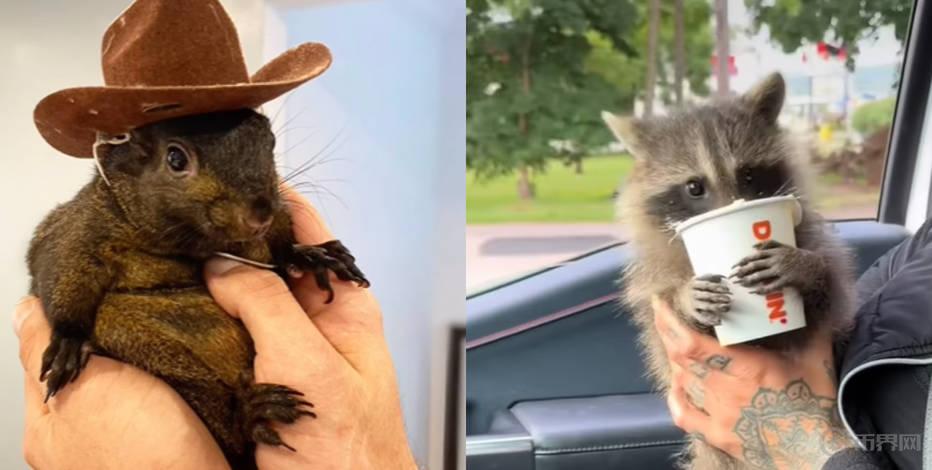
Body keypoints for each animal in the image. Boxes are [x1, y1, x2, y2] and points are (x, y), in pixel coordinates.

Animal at [27, 108, 369, 469]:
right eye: (175, 159)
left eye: (270, 141)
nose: (260, 214)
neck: (190, 245)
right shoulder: (78, 230)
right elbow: (62, 271)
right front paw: (68, 341)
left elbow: (281, 246)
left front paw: (310, 255)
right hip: (139, 341)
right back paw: (249, 415)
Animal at [603, 73, 856, 469]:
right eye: (694, 187)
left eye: (748, 174)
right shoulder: (650, 286)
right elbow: (665, 310)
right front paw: (685, 297)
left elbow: (831, 295)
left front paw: (804, 266)